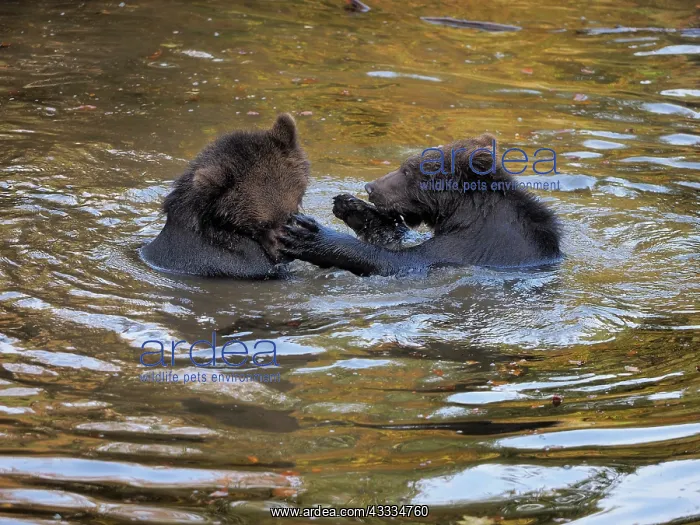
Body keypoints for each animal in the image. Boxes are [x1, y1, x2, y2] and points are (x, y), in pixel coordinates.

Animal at [279, 134, 561, 276]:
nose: (371, 187)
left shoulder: (473, 245)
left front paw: (305, 235)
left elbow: (401, 261)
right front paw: (352, 207)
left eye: (407, 170)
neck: (463, 212)